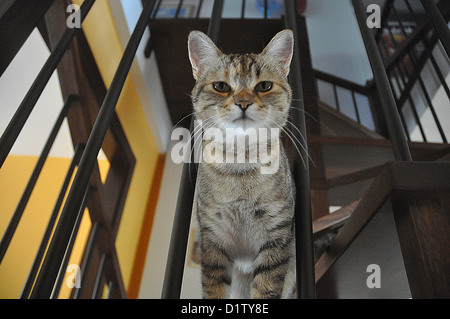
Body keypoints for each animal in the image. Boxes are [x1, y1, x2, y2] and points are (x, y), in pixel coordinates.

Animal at [188, 30, 298, 300]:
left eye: (264, 86)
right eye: (220, 86)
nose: (244, 103)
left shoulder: (276, 237)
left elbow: (266, 289)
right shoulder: (212, 239)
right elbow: (214, 289)